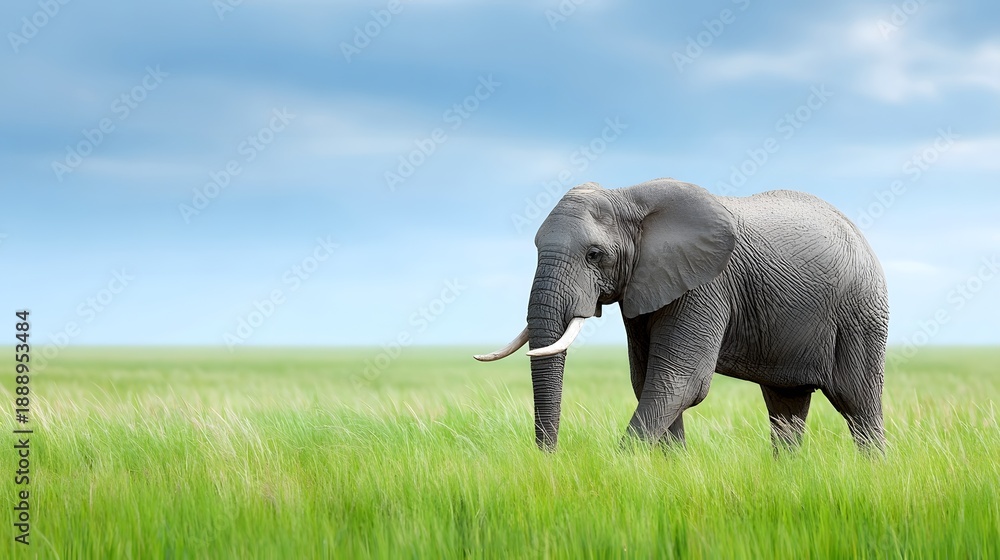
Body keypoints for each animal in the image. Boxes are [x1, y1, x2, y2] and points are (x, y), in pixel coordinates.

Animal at [475, 178, 889, 453]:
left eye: (594, 255)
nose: (550, 460)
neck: (629, 198)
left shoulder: (705, 285)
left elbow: (679, 381)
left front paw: (618, 467)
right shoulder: (645, 285)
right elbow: (647, 380)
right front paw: (671, 468)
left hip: (861, 313)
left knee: (858, 404)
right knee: (786, 405)